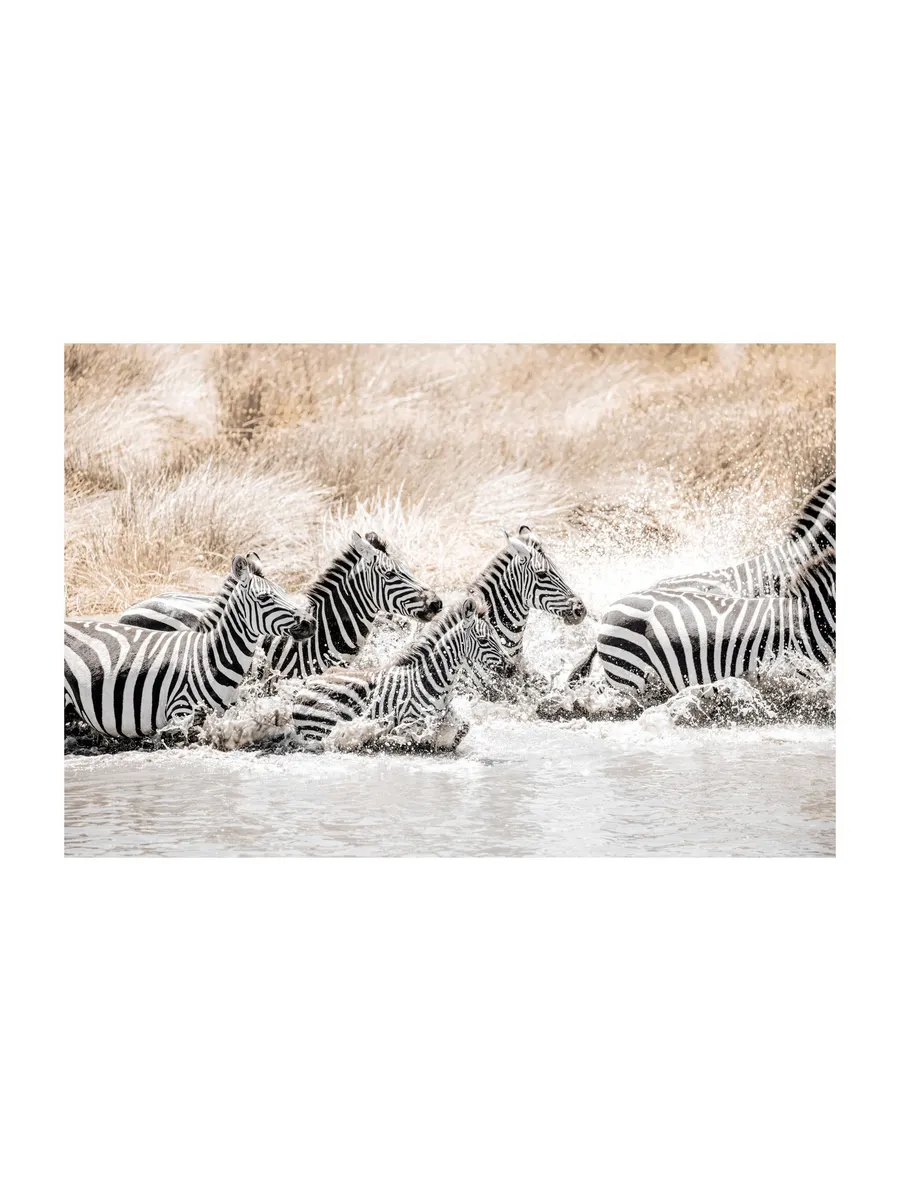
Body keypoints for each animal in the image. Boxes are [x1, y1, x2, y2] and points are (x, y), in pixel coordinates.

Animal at [287, 597, 514, 747]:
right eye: (484, 640)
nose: (511, 669)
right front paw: (395, 738)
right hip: (325, 725)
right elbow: (407, 734)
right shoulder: (411, 719)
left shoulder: (445, 715)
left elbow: (464, 728)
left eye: (496, 636)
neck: (433, 679)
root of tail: (305, 686)